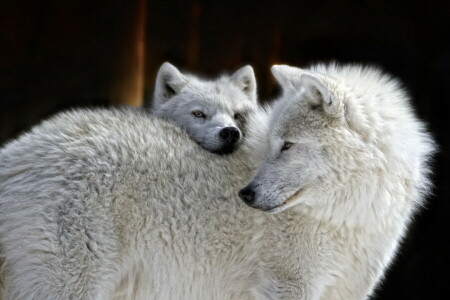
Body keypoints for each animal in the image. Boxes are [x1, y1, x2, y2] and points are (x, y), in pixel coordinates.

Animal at [0, 63, 436, 300]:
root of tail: (16, 152)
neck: (346, 217)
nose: (246, 194)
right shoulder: (289, 285)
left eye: (288, 145)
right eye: (274, 144)